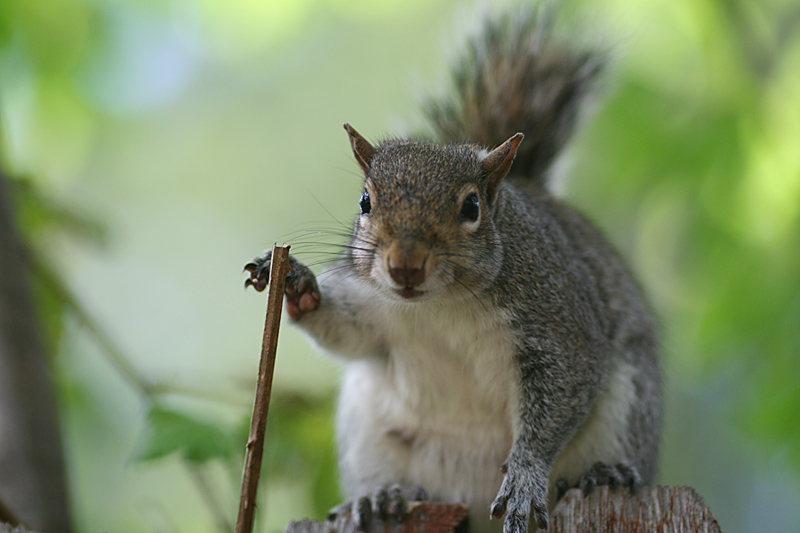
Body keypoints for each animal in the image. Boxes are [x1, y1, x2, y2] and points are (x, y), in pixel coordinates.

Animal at [245, 4, 660, 532]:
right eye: (364, 201)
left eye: (471, 207)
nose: (405, 266)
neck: (438, 306)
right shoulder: (372, 311)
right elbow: (347, 333)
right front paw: (296, 281)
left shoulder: (558, 320)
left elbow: (563, 390)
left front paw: (524, 477)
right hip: (369, 434)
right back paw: (382, 497)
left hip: (629, 404)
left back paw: (604, 474)